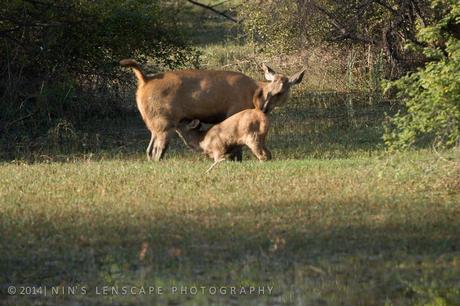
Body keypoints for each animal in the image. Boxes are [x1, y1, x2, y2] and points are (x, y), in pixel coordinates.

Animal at [121, 58, 306, 161]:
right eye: (272, 87)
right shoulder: (234, 112)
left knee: (149, 150)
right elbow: (237, 148)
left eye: (281, 92)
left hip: (155, 124)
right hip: (164, 122)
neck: (254, 96)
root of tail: (144, 81)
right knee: (157, 151)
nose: (265, 107)